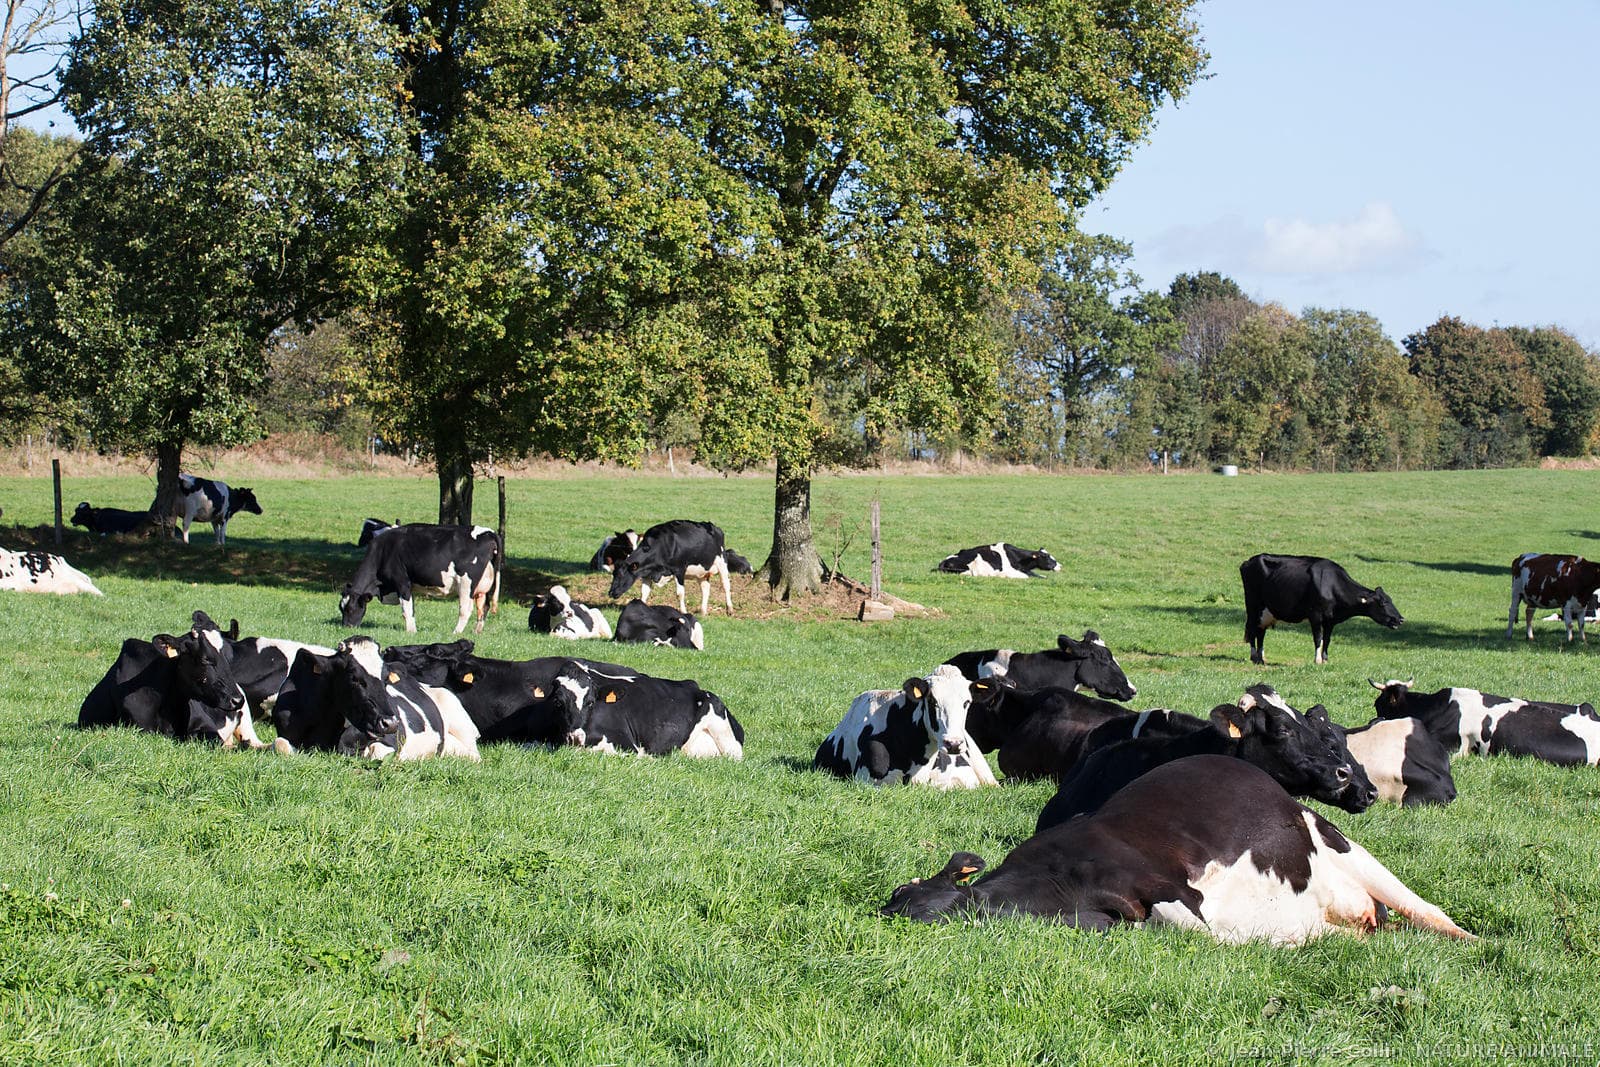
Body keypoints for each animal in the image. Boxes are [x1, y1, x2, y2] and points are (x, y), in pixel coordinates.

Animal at [340, 523, 502, 634]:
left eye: (350, 609)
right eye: (341, 608)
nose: (346, 627)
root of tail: (488, 532)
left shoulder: (402, 582)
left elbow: (406, 609)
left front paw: (410, 632)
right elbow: (411, 608)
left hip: (466, 583)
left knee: (466, 610)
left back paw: (455, 632)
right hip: (483, 588)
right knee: (484, 607)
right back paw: (476, 632)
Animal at [550, 660, 744, 759]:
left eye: (590, 702)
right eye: (558, 702)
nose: (575, 737)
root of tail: (695, 686)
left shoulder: (627, 746)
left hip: (727, 739)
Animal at [881, 756, 1475, 945]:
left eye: (912, 890)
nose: (891, 910)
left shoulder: (1168, 887)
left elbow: (1195, 925)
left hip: (1347, 847)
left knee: (1428, 911)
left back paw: (1474, 941)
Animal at [1240, 553, 1403, 665]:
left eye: (1390, 600)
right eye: (1382, 603)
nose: (1400, 619)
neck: (1331, 586)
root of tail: (1249, 561)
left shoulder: (1330, 620)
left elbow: (1327, 639)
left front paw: (1325, 659)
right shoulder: (1316, 616)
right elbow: (1318, 638)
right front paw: (1317, 659)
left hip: (1266, 612)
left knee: (1261, 632)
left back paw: (1261, 658)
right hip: (1253, 606)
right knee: (1253, 630)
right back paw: (1254, 656)